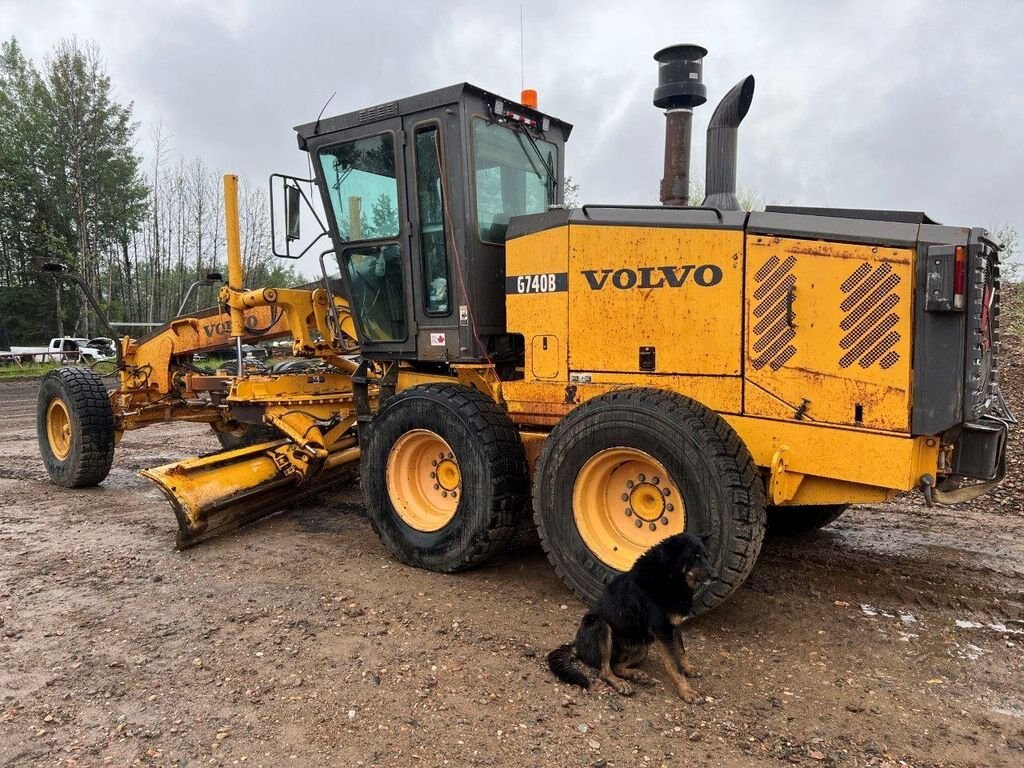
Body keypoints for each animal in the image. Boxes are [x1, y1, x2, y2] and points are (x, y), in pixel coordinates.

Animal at [552, 536, 712, 704]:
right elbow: (674, 665)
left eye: (706, 556)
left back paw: (636, 675)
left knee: (615, 665)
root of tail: (577, 645)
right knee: (604, 671)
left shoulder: (674, 627)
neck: (669, 577)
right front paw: (687, 691)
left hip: (643, 646)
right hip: (601, 626)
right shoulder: (662, 631)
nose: (714, 576)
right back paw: (619, 683)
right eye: (695, 557)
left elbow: (681, 651)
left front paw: (688, 668)